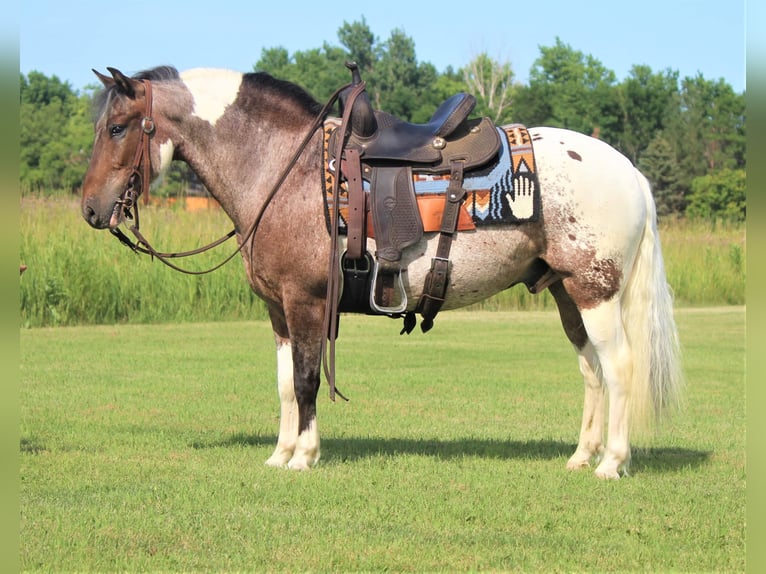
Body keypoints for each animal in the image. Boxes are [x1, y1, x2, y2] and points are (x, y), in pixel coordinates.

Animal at [82, 65, 684, 480]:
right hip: (565, 293)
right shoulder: (277, 311)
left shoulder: (305, 301)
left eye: (117, 128)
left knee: (620, 367)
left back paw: (612, 462)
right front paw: (280, 453)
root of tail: (628, 169)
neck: (284, 169)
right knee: (591, 370)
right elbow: (283, 385)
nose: (90, 209)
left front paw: (304, 456)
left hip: (594, 290)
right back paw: (582, 456)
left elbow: (306, 380)